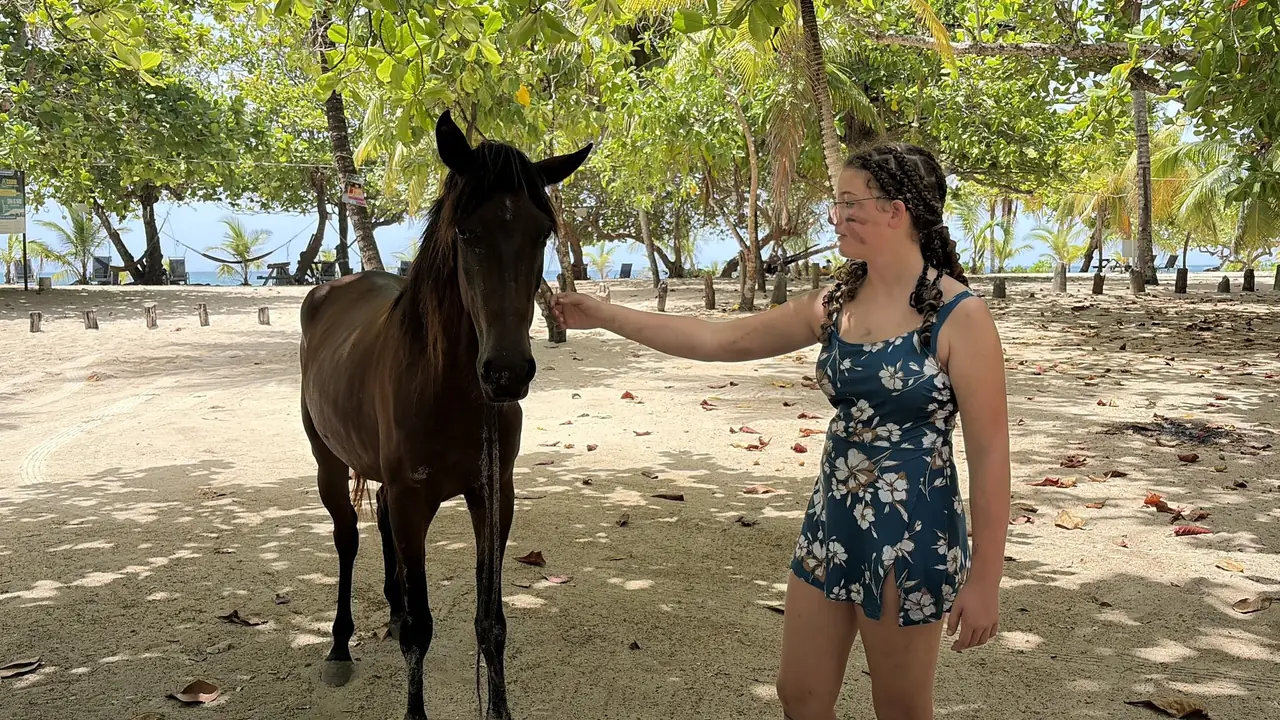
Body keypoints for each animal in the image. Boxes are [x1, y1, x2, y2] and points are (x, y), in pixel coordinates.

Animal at [297, 109, 591, 720]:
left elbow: (491, 622)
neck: (450, 390)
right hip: (328, 464)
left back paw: (388, 610)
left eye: (542, 232)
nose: (506, 373)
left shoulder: (493, 496)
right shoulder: (415, 501)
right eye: (465, 231)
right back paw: (339, 645)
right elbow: (420, 630)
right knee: (347, 538)